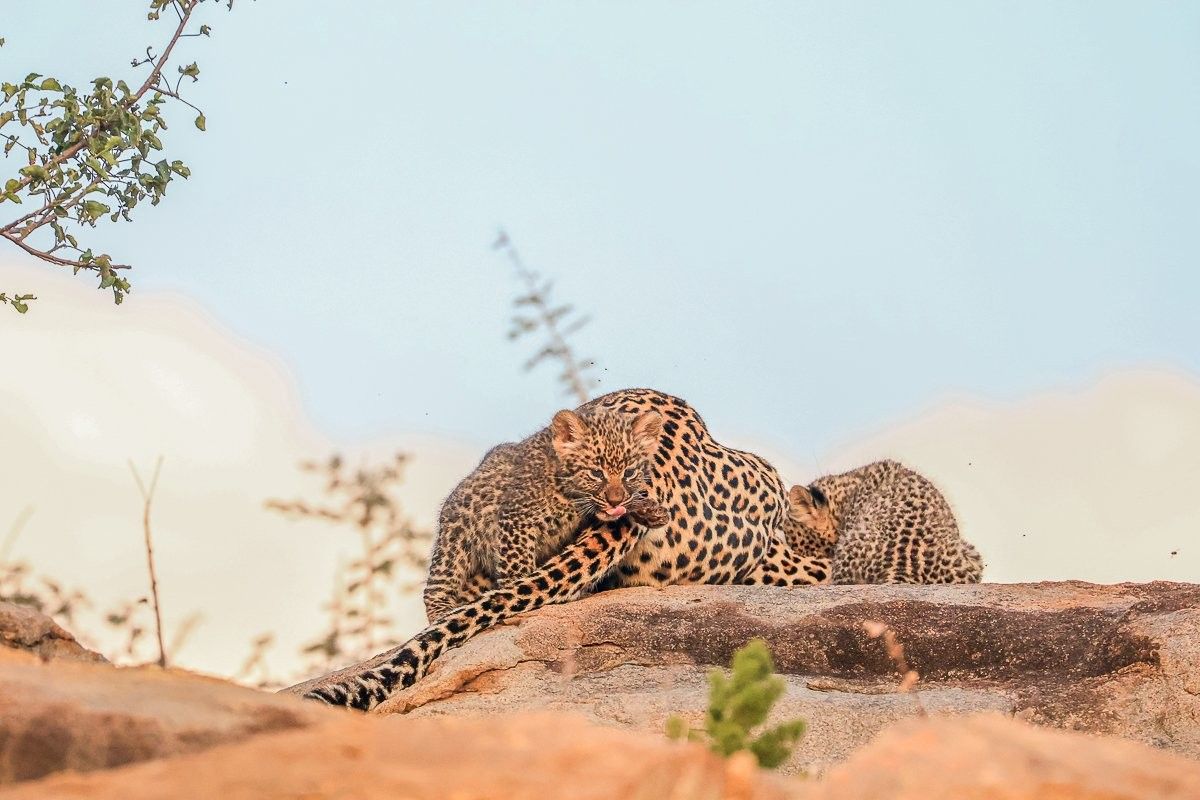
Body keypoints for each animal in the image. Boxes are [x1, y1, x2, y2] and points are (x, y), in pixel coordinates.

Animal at [422, 405, 671, 621]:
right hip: (455, 541)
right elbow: (517, 567)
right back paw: (441, 612)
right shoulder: (516, 519)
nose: (615, 500)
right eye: (596, 473)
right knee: (436, 585)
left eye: (629, 473)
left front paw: (651, 512)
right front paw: (516, 598)